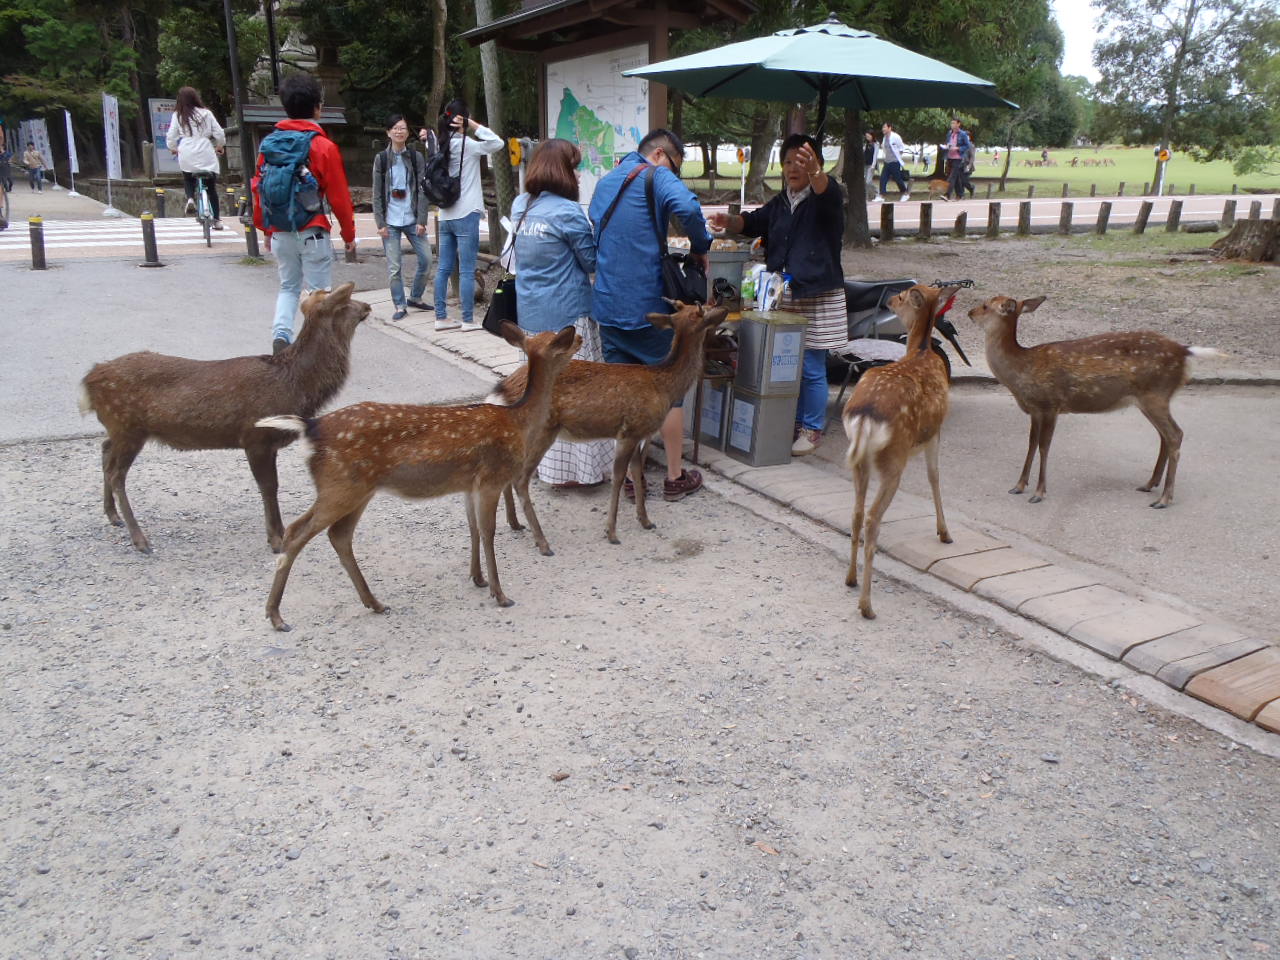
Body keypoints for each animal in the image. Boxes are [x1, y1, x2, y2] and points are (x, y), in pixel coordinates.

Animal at [78, 283, 370, 555]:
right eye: (345, 300)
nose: (367, 306)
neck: (294, 385)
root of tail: (89, 379)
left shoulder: (269, 442)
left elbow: (272, 485)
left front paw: (279, 534)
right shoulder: (255, 437)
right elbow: (268, 486)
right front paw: (276, 539)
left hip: (118, 428)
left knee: (105, 451)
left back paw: (113, 515)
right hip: (128, 425)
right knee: (116, 474)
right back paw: (140, 539)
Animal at [255, 323, 579, 632]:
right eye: (561, 341)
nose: (580, 339)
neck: (518, 421)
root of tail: (310, 427)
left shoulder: (469, 485)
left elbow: (473, 529)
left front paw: (478, 578)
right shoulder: (491, 478)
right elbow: (488, 532)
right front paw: (500, 594)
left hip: (356, 489)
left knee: (339, 535)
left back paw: (374, 603)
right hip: (341, 486)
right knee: (297, 531)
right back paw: (276, 616)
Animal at [487, 300, 729, 550]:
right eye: (704, 312)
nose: (724, 308)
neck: (664, 387)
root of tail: (504, 389)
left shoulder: (639, 434)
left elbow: (637, 472)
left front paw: (645, 520)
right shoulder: (629, 431)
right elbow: (619, 477)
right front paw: (611, 532)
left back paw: (515, 523)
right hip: (541, 431)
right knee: (520, 479)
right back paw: (542, 541)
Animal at [843, 284, 962, 620]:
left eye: (902, 295)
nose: (887, 298)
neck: (921, 351)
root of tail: (865, 416)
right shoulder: (935, 431)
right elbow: (935, 477)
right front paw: (945, 533)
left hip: (859, 461)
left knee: (856, 512)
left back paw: (850, 579)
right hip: (893, 462)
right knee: (872, 519)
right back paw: (867, 606)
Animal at [967, 295, 1222, 508]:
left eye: (985, 306)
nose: (969, 312)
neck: (1021, 370)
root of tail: (1185, 351)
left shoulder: (1050, 404)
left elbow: (1044, 446)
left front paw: (1039, 493)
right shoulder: (1034, 410)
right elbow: (1030, 444)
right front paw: (1018, 486)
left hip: (1156, 394)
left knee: (1175, 434)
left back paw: (1164, 498)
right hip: (1150, 399)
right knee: (1164, 436)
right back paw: (1150, 484)